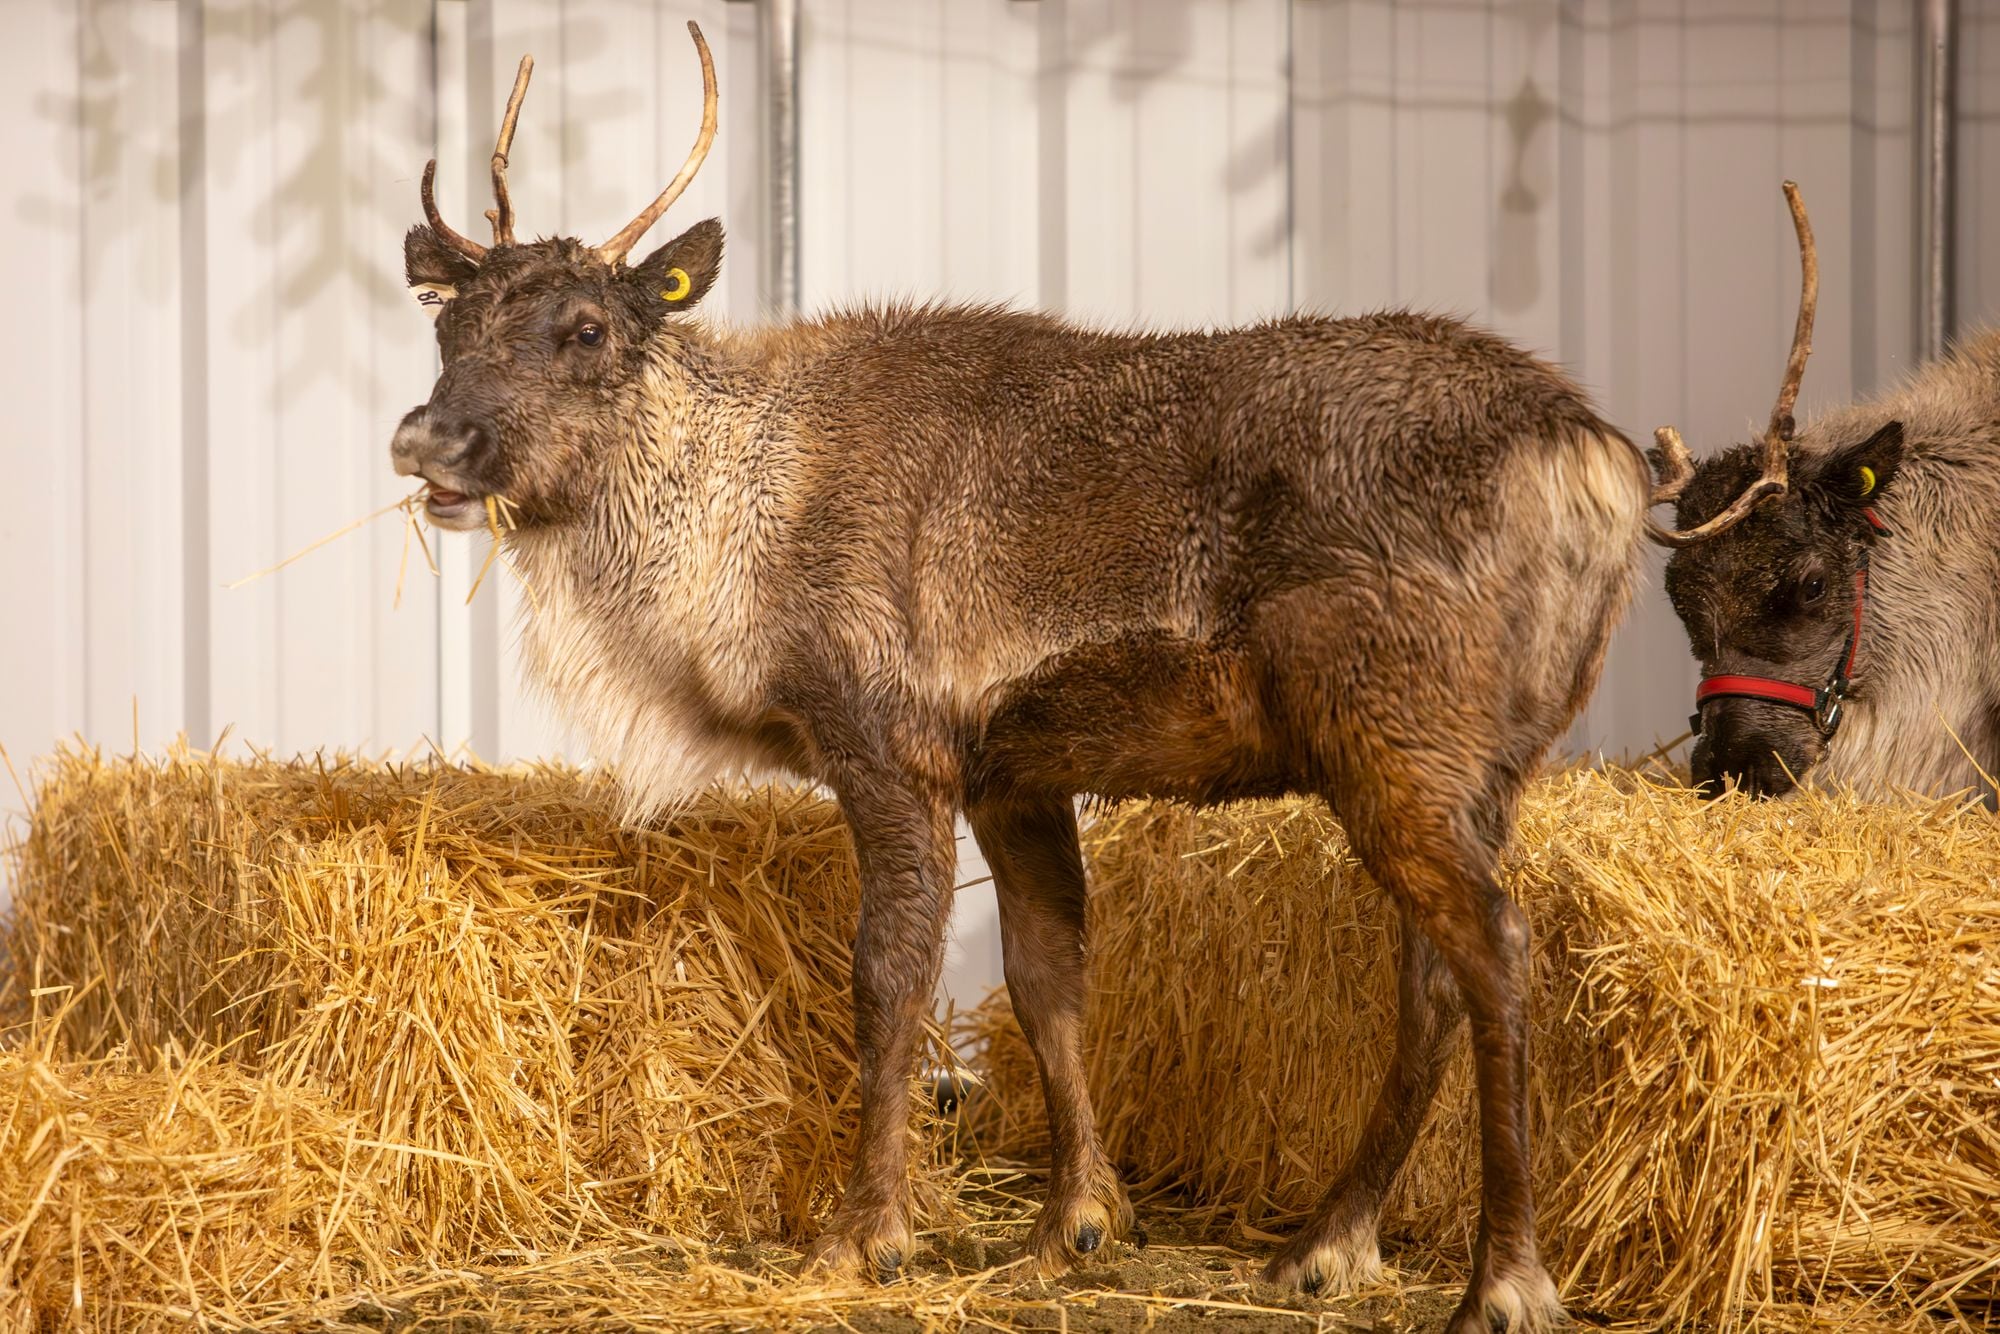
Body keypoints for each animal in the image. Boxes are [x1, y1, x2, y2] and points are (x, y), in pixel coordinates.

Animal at [388, 26, 1786, 1332]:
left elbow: (889, 976)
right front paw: (1075, 1222)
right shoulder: (1011, 768)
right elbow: (1045, 974)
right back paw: (1324, 1241)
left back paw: (1501, 1275)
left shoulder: (888, 739)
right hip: (1477, 761)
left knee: (1495, 944)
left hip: (1398, 733)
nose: (424, 436)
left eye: (584, 327)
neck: (740, 527)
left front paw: (862, 1234)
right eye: (445, 324)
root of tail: (1599, 459)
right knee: (1431, 971)